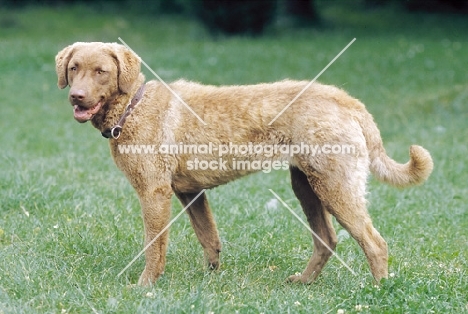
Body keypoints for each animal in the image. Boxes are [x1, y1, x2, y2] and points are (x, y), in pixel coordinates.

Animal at [56, 42, 434, 288]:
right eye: (74, 68)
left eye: (102, 72)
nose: (76, 96)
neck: (132, 108)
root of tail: (347, 100)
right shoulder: (191, 193)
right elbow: (208, 237)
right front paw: (210, 278)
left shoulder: (154, 192)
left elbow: (155, 245)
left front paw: (144, 286)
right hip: (306, 186)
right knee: (327, 239)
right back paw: (304, 282)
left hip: (335, 186)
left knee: (375, 242)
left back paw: (380, 290)